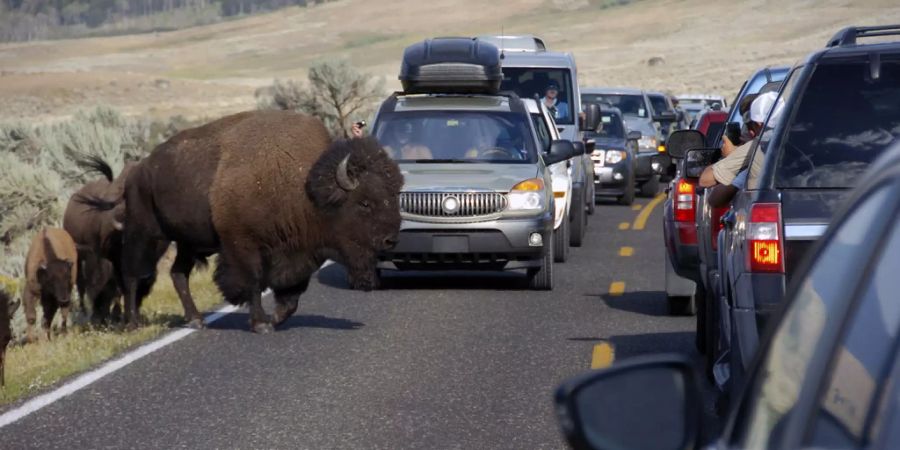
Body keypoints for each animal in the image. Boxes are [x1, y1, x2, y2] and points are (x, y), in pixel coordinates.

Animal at [89, 110, 404, 332]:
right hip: (146, 235)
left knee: (178, 274)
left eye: (394, 196)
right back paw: (133, 323)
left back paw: (195, 320)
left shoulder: (297, 254)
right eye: (364, 202)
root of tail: (137, 170)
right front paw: (262, 323)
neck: (303, 188)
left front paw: (275, 319)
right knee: (132, 275)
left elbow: (291, 297)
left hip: (189, 244)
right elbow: (253, 282)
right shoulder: (243, 246)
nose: (391, 239)